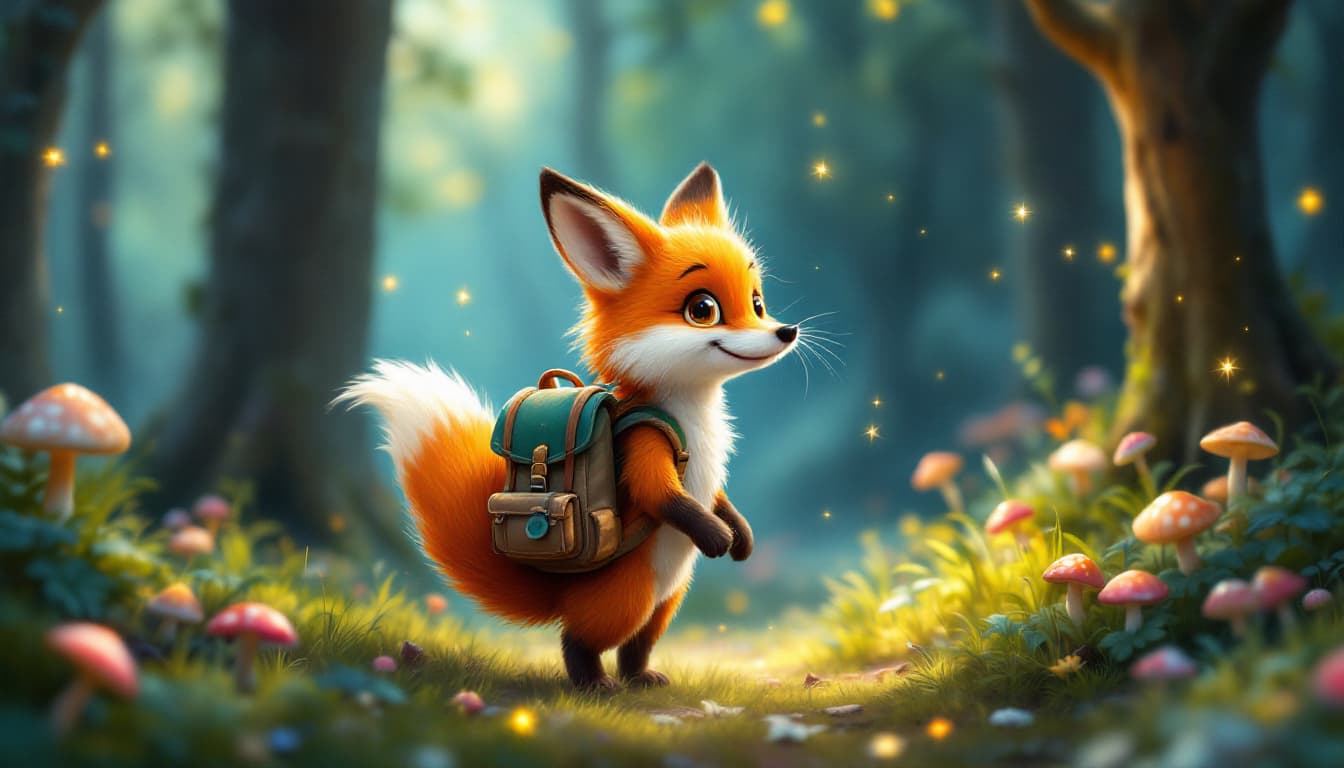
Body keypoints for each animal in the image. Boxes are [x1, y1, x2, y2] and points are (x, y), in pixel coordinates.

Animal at [337, 163, 799, 689]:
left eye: (758, 303)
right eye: (703, 309)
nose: (787, 332)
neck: (694, 416)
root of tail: (564, 596)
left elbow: (719, 499)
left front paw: (740, 534)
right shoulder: (645, 443)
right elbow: (661, 494)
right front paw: (716, 535)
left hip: (668, 601)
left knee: (638, 643)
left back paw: (642, 678)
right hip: (631, 596)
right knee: (578, 640)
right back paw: (595, 685)